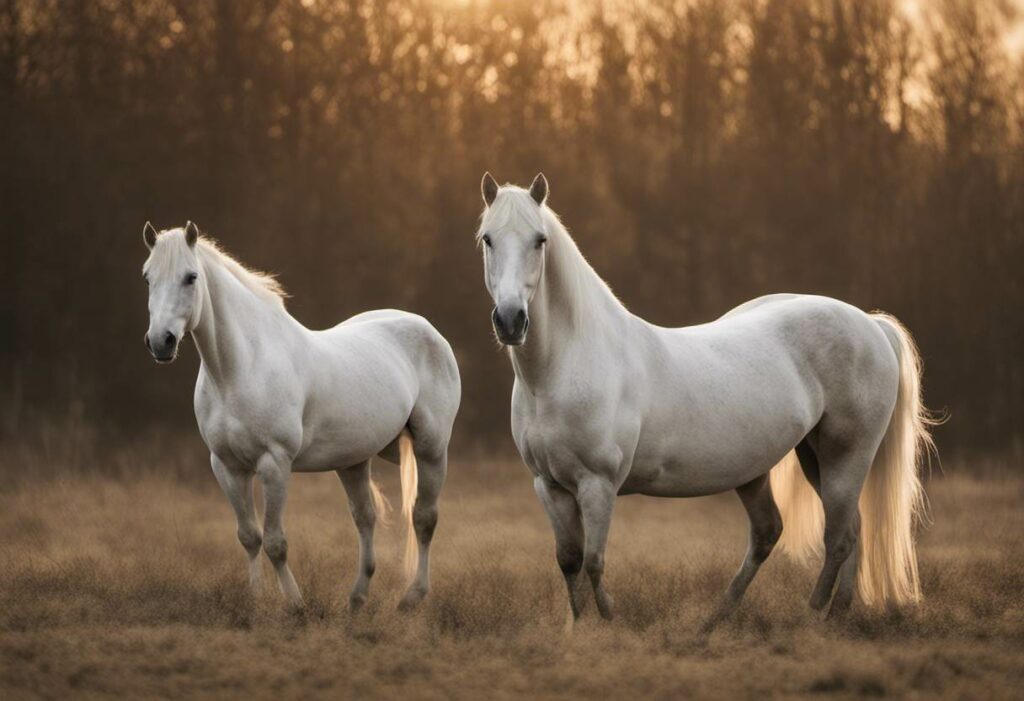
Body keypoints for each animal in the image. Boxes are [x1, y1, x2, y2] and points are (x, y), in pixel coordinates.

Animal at [142, 221, 462, 609]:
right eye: (147, 277)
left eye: (190, 277)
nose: (161, 342)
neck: (239, 369)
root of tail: (427, 328)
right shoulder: (226, 466)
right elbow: (249, 537)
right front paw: (255, 601)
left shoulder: (274, 463)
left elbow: (275, 542)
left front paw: (295, 606)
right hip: (354, 461)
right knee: (365, 518)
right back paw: (357, 599)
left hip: (431, 450)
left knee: (423, 518)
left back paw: (411, 598)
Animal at [475, 174, 933, 630]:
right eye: (487, 239)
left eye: (540, 240)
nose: (511, 321)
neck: (565, 366)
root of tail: (869, 324)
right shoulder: (548, 485)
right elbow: (569, 561)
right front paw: (578, 630)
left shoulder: (597, 484)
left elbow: (594, 561)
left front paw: (609, 626)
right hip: (802, 458)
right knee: (811, 530)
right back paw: (736, 619)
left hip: (846, 455)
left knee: (837, 536)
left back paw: (814, 615)